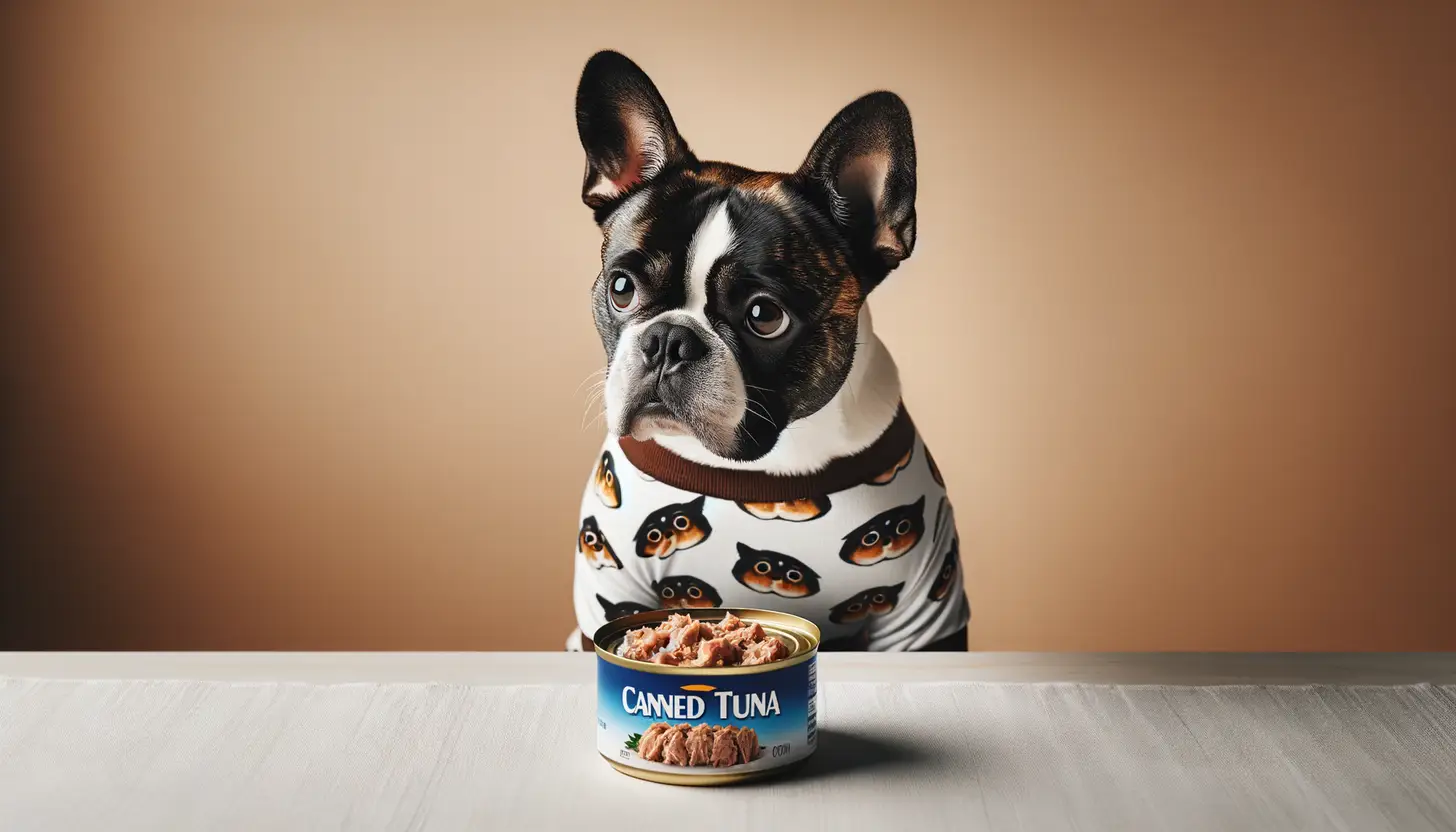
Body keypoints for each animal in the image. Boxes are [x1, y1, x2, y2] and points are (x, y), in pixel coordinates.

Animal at [567, 50, 966, 658]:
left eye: (764, 315)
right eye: (621, 288)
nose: (668, 341)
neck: (765, 469)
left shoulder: (926, 613)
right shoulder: (610, 592)